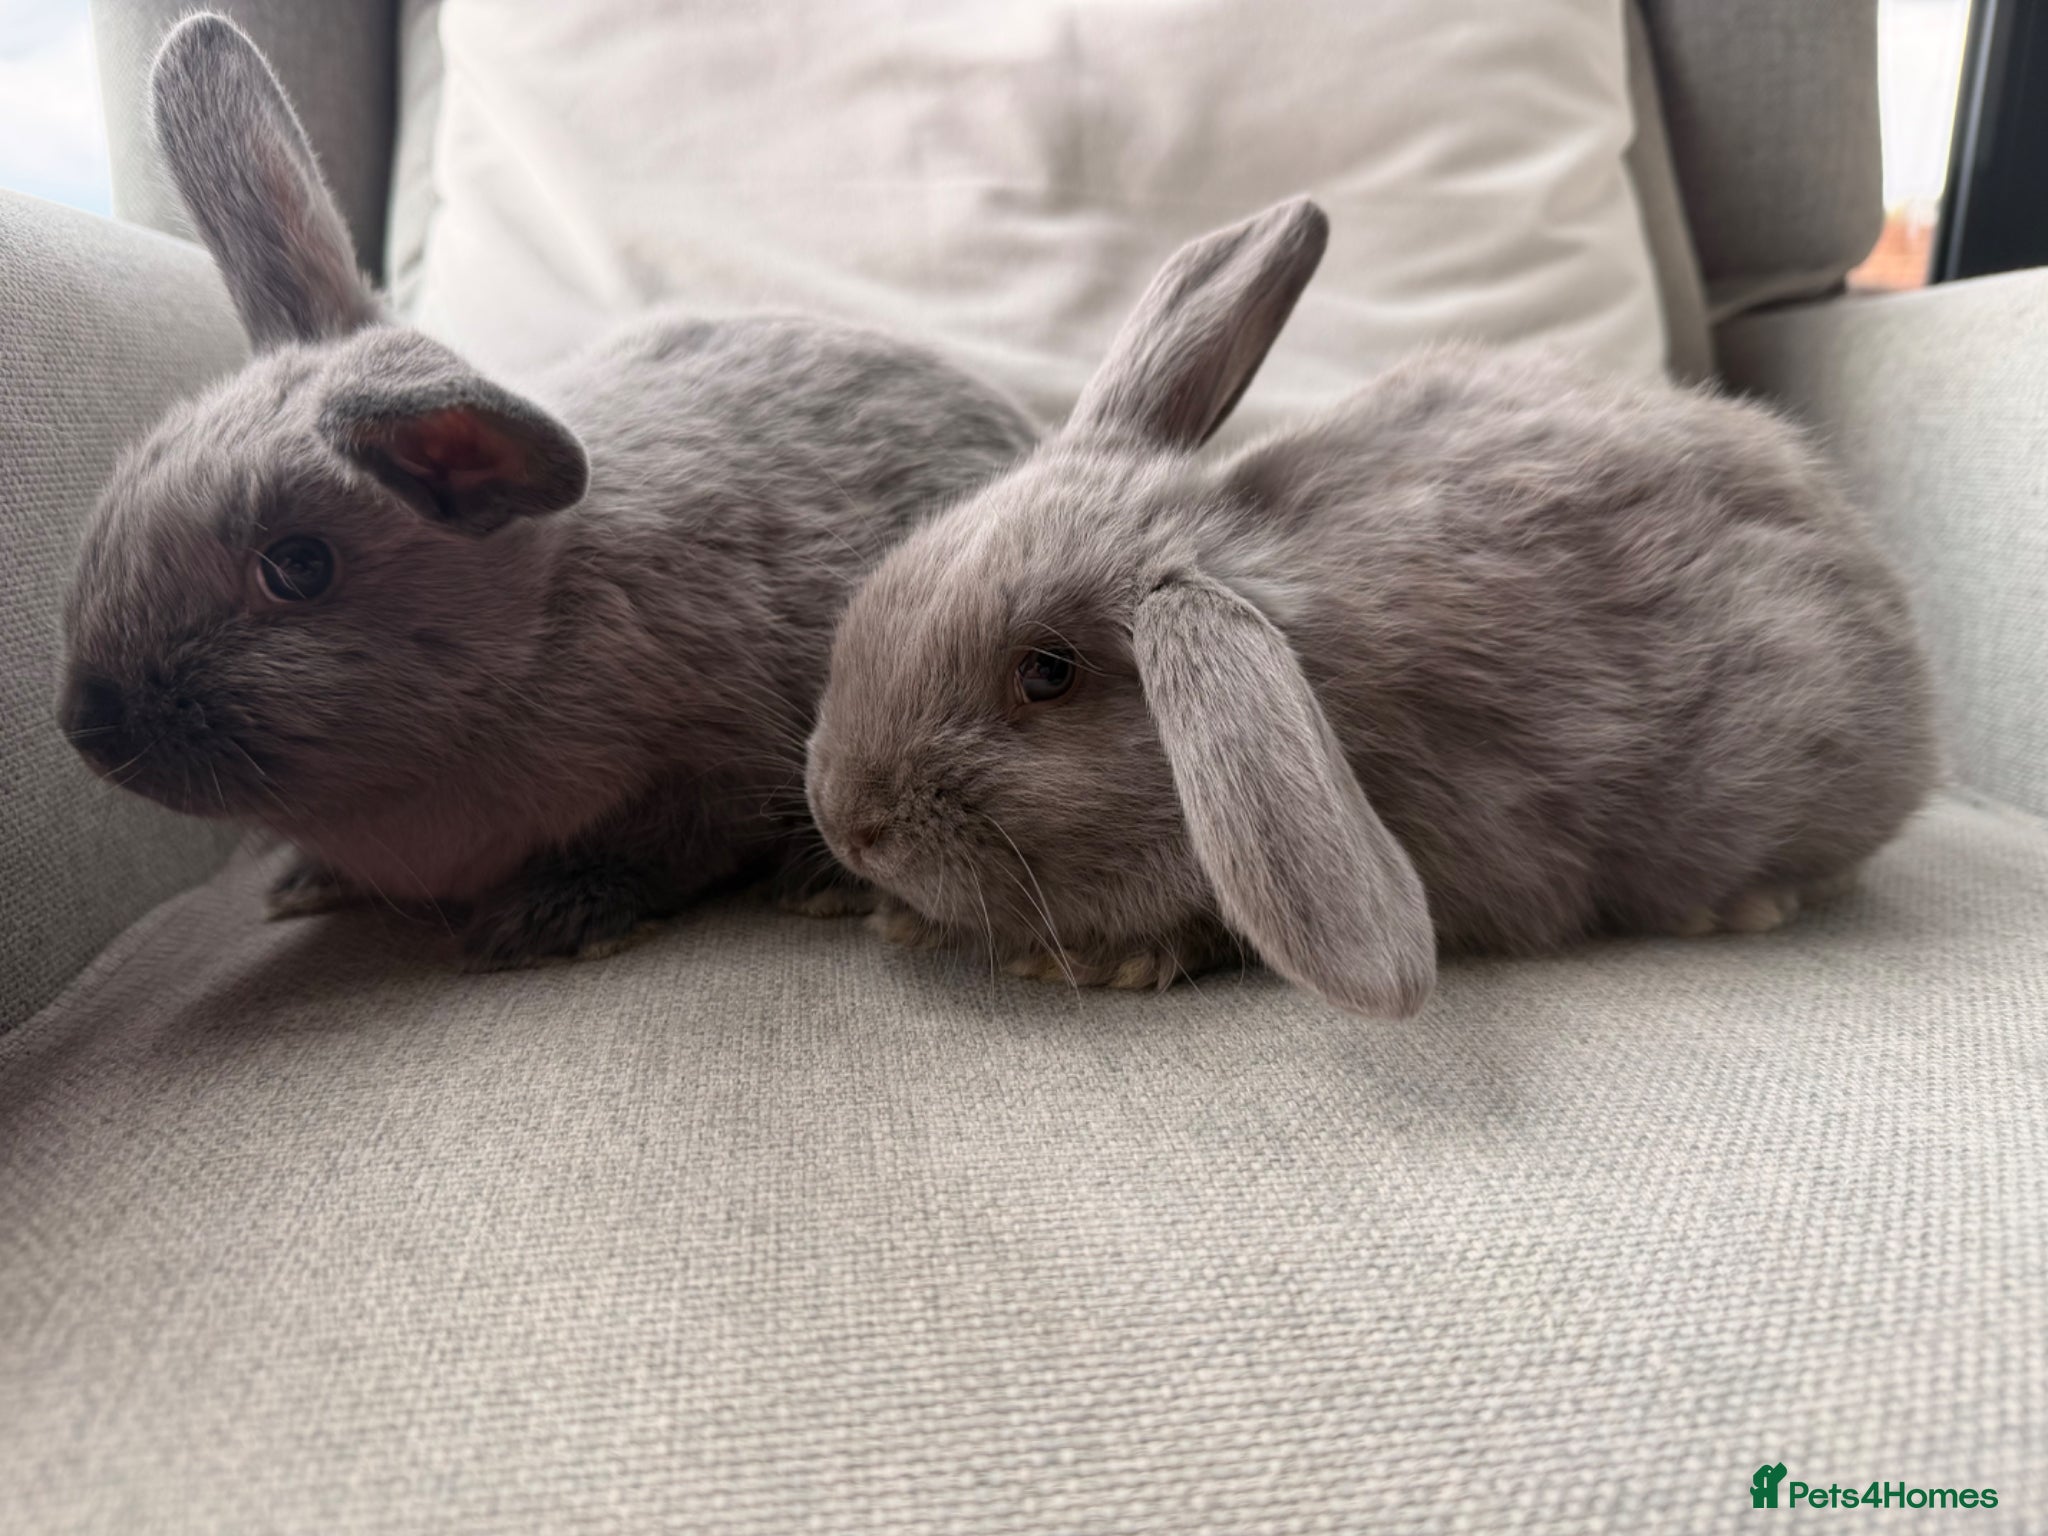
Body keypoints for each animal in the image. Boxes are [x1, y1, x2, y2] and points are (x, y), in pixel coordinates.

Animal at [56, 14, 1035, 968]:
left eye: (297, 567)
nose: (89, 728)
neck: (533, 627)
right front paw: (305, 884)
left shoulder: (717, 764)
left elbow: (670, 844)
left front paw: (547, 918)